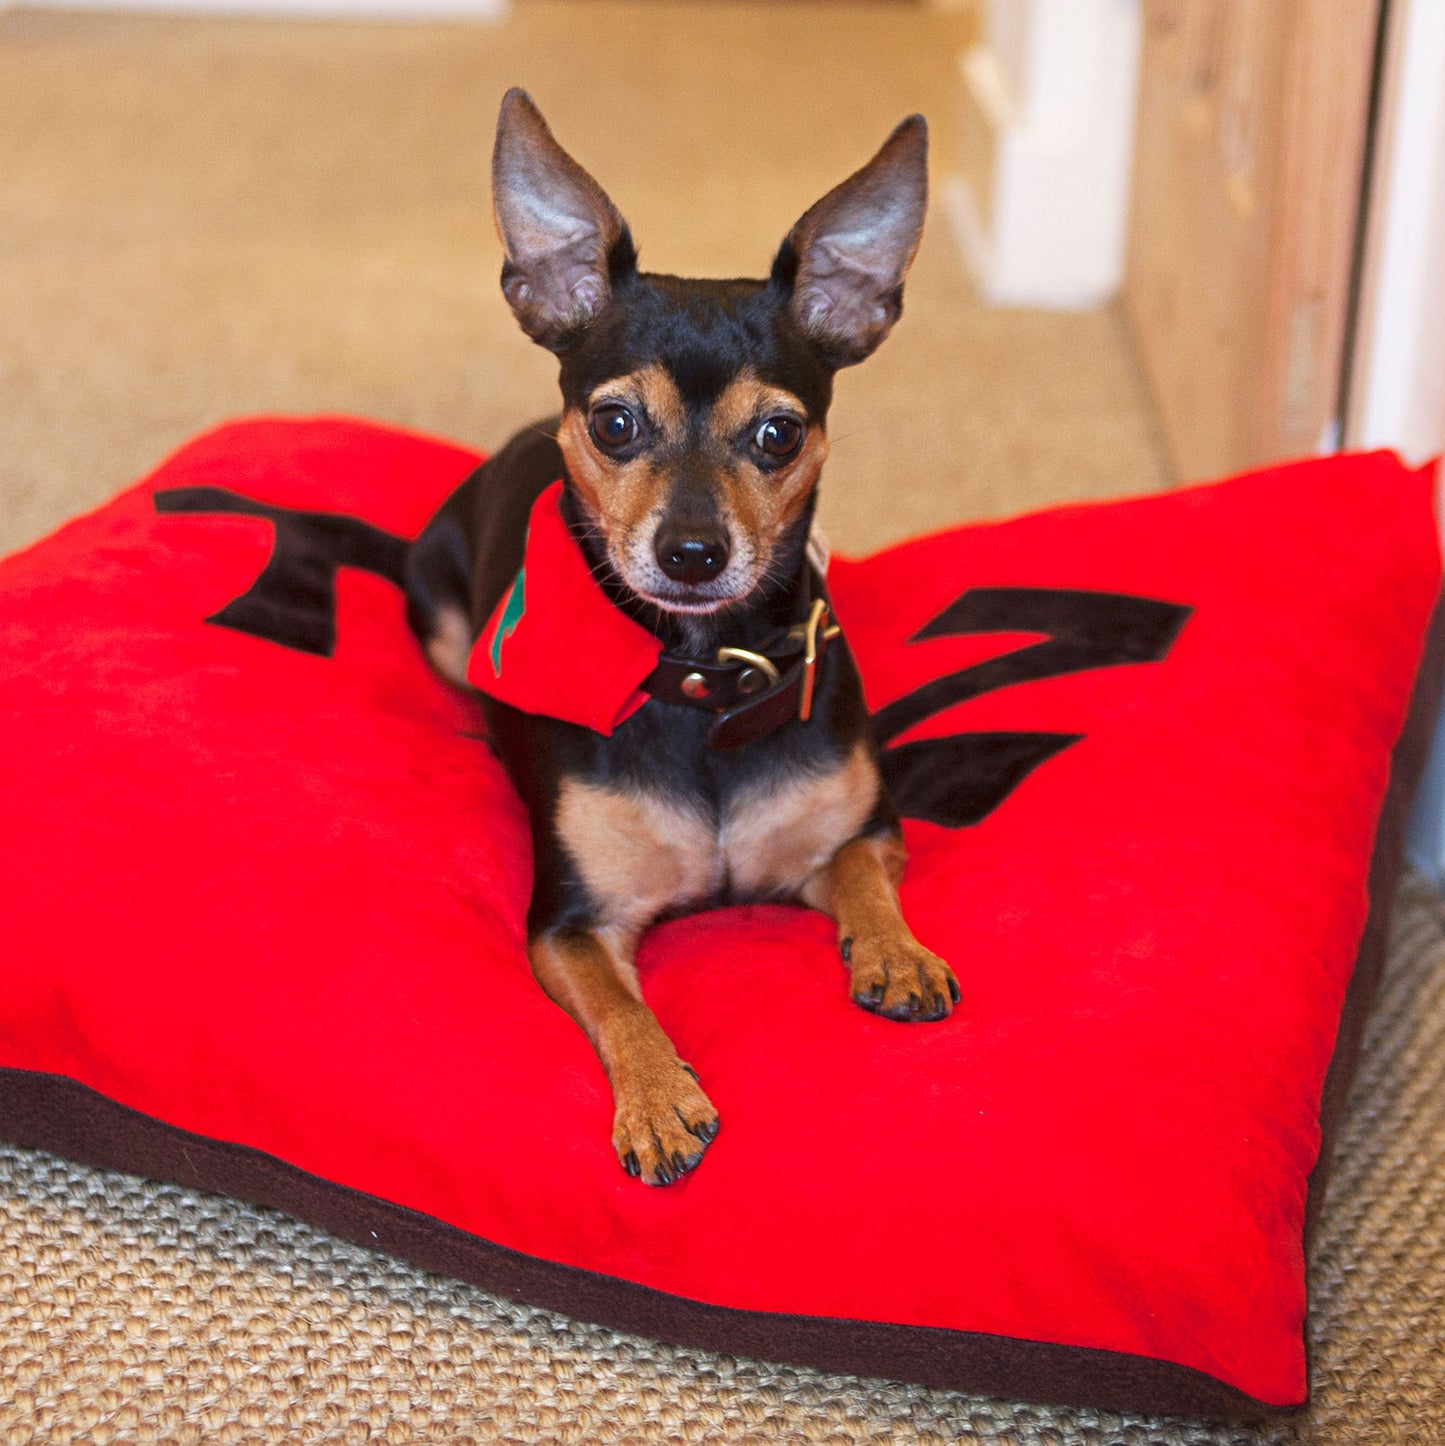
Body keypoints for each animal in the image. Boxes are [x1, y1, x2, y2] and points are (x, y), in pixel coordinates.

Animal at [407, 96, 954, 1191]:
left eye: (778, 435)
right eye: (615, 422)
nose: (693, 552)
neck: (704, 673)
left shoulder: (859, 832)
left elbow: (861, 874)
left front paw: (893, 949)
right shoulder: (572, 924)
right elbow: (621, 1004)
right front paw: (659, 1099)